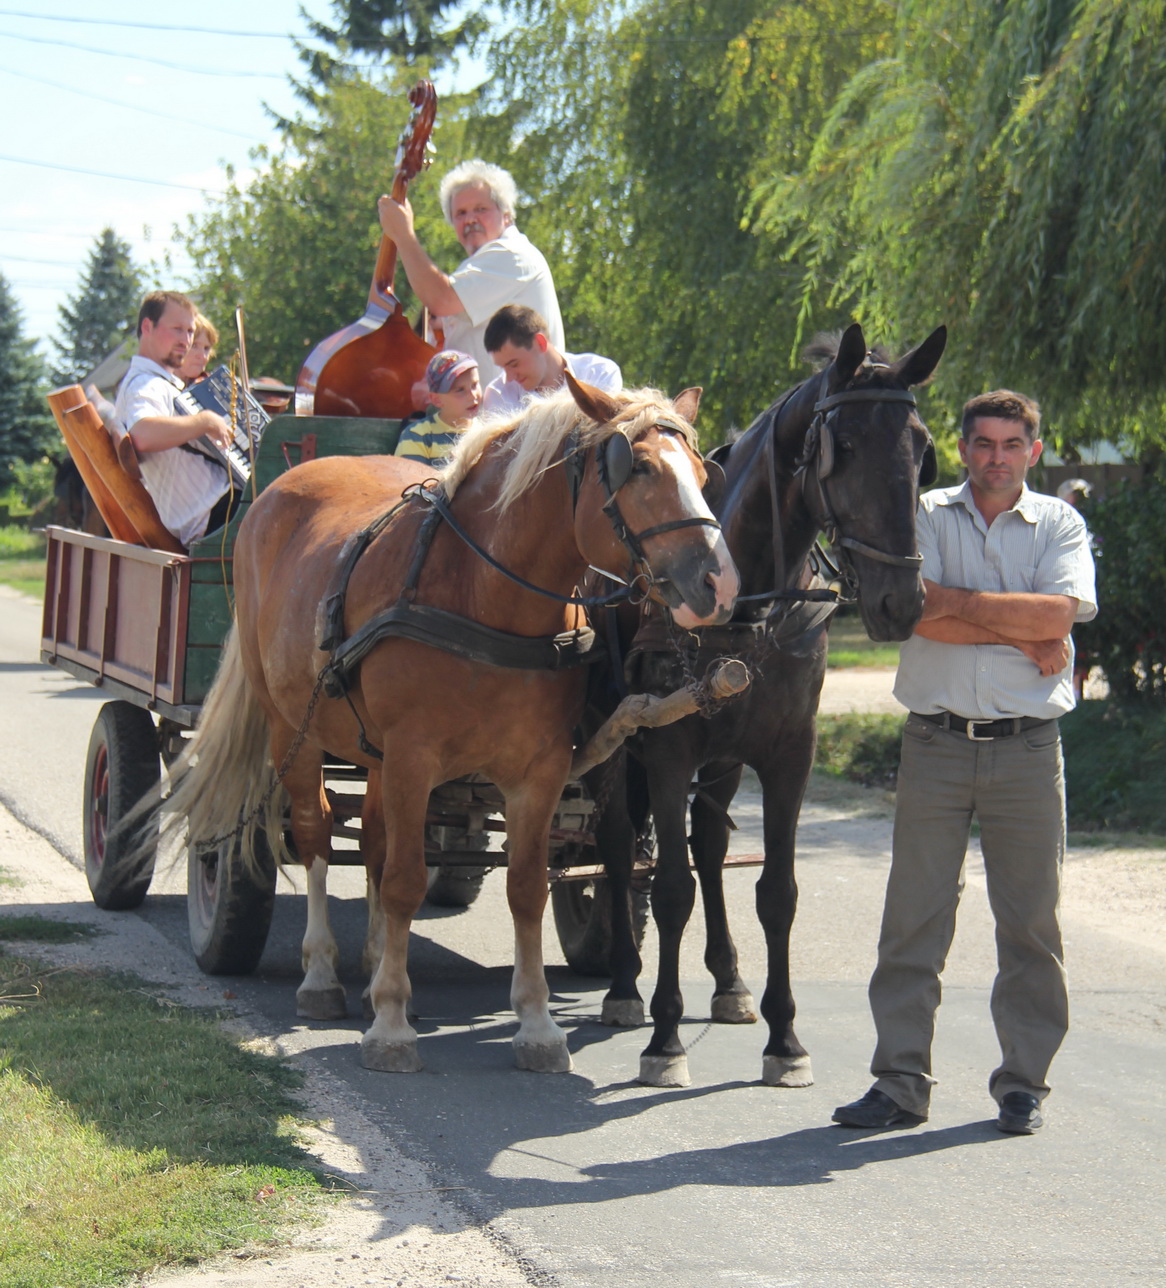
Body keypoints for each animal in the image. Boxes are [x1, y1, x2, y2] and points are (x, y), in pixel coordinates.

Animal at [159, 375, 740, 1074]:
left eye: (704, 473)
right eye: (642, 467)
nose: (720, 585)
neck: (484, 595)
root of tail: (279, 489)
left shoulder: (539, 770)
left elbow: (523, 886)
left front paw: (537, 1025)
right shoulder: (414, 757)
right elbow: (407, 880)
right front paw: (390, 1023)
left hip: (373, 753)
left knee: (375, 841)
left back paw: (375, 963)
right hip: (289, 731)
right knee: (319, 834)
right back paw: (323, 975)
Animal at [588, 322, 947, 1088]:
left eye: (922, 449)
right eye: (845, 448)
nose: (901, 603)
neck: (745, 602)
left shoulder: (788, 754)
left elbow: (776, 892)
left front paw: (785, 1039)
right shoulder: (668, 750)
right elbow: (670, 889)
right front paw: (665, 1038)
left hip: (724, 759)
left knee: (711, 844)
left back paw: (727, 981)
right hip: (615, 745)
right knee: (618, 845)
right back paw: (625, 986)